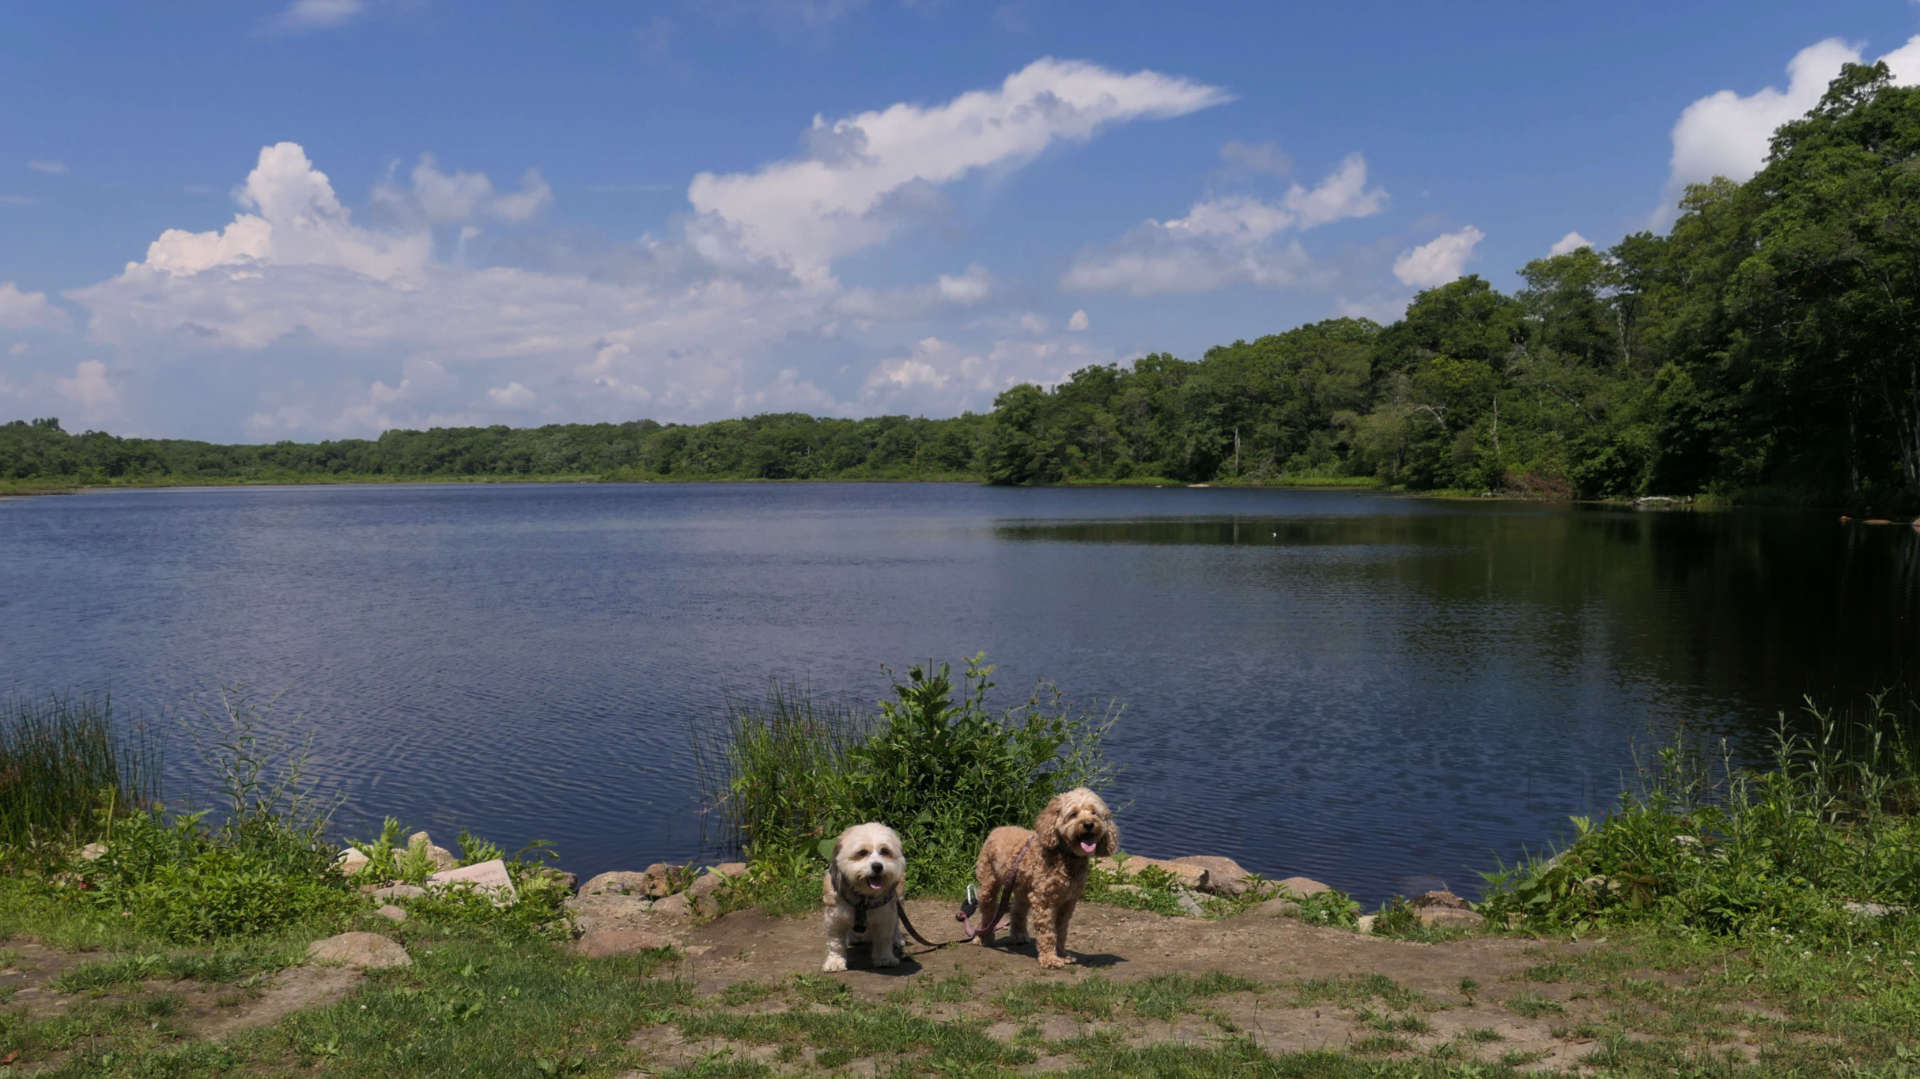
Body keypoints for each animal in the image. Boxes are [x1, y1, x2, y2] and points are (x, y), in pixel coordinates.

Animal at [817, 817, 906, 971]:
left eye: (885, 851)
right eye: (862, 852)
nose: (877, 866)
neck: (863, 898)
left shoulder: (885, 915)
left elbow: (884, 939)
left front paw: (885, 958)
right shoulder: (834, 918)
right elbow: (835, 943)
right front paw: (835, 961)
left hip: (897, 899)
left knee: (896, 923)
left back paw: (897, 939)